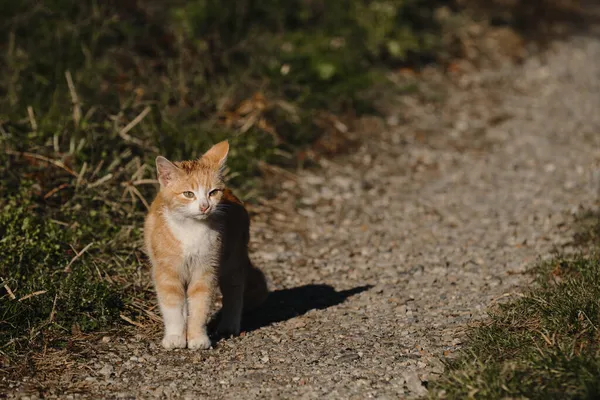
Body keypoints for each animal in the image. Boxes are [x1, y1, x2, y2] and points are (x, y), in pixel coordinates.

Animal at [143, 141, 268, 350]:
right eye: (188, 194)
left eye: (213, 192)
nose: (204, 206)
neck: (191, 229)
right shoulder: (167, 273)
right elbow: (173, 306)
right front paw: (176, 336)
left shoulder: (206, 271)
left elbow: (200, 305)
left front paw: (197, 337)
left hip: (233, 260)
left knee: (235, 290)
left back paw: (229, 325)